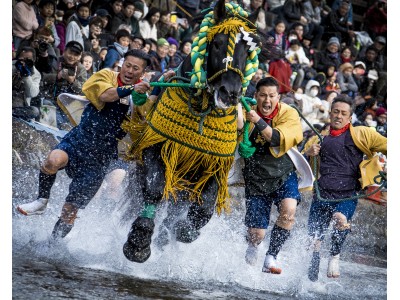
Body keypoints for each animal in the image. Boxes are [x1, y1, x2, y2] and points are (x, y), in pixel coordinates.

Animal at [122, 0, 272, 262]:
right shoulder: (158, 145)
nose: (229, 93)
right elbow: (154, 188)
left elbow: (204, 207)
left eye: (248, 51)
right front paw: (138, 240)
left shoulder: (214, 163)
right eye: (218, 42)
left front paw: (183, 230)